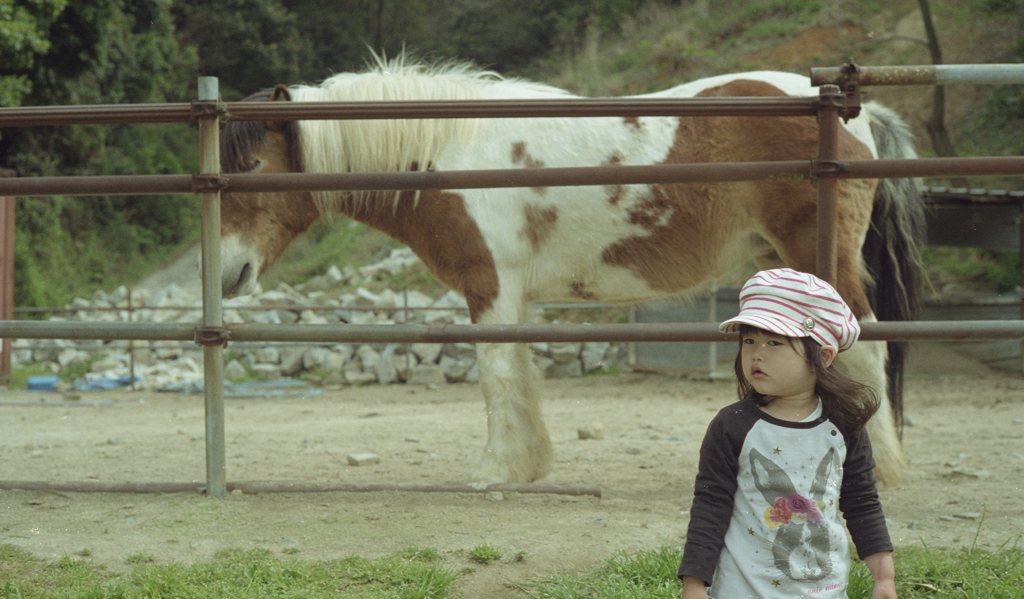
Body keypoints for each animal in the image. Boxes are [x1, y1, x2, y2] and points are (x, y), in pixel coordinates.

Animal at [220, 54, 925, 485]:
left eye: (252, 168)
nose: (229, 275)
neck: (446, 149)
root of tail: (856, 114)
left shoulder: (490, 288)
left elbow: (498, 376)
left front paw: (496, 470)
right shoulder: (509, 296)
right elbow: (518, 373)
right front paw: (526, 466)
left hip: (820, 260)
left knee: (864, 347)